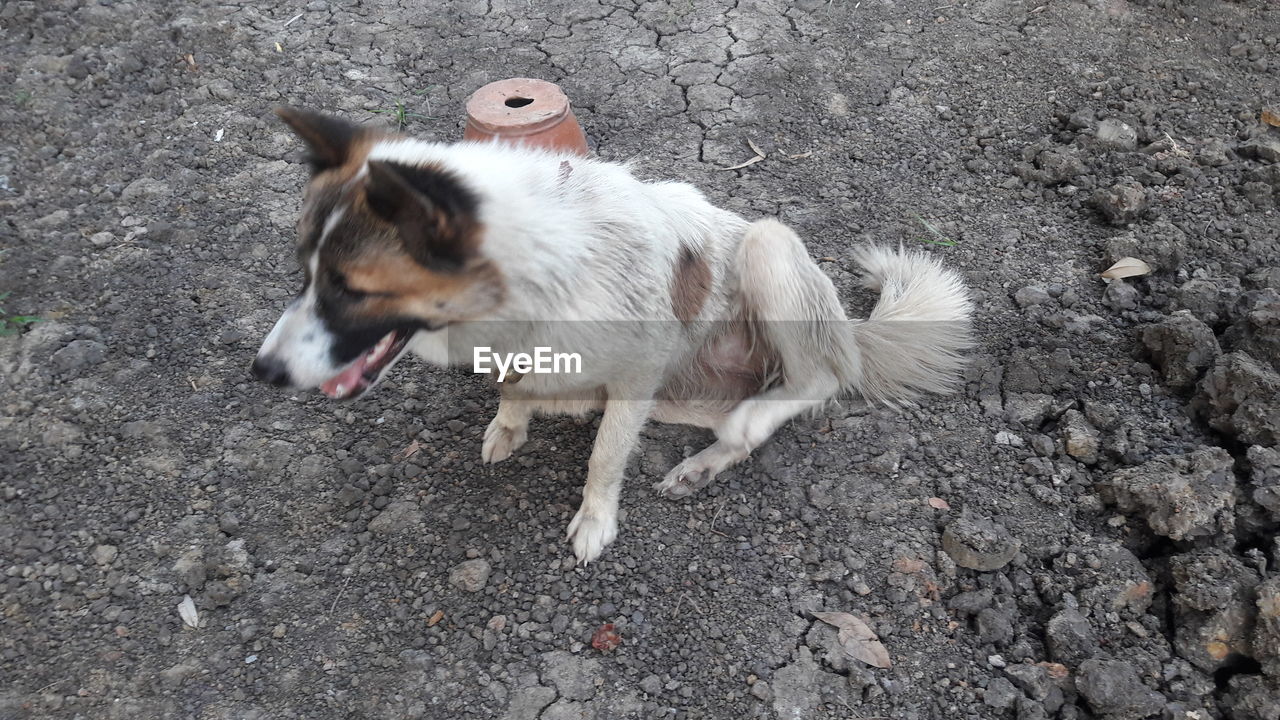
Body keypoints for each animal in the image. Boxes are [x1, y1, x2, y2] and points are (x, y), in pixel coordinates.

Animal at [247, 107, 967, 561]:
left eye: (352, 289)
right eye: (305, 272)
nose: (263, 372)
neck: (538, 276)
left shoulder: (635, 375)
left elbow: (604, 457)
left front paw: (595, 519)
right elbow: (514, 386)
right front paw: (511, 421)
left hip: (766, 247)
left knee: (817, 381)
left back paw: (752, 420)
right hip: (680, 398)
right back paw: (700, 466)